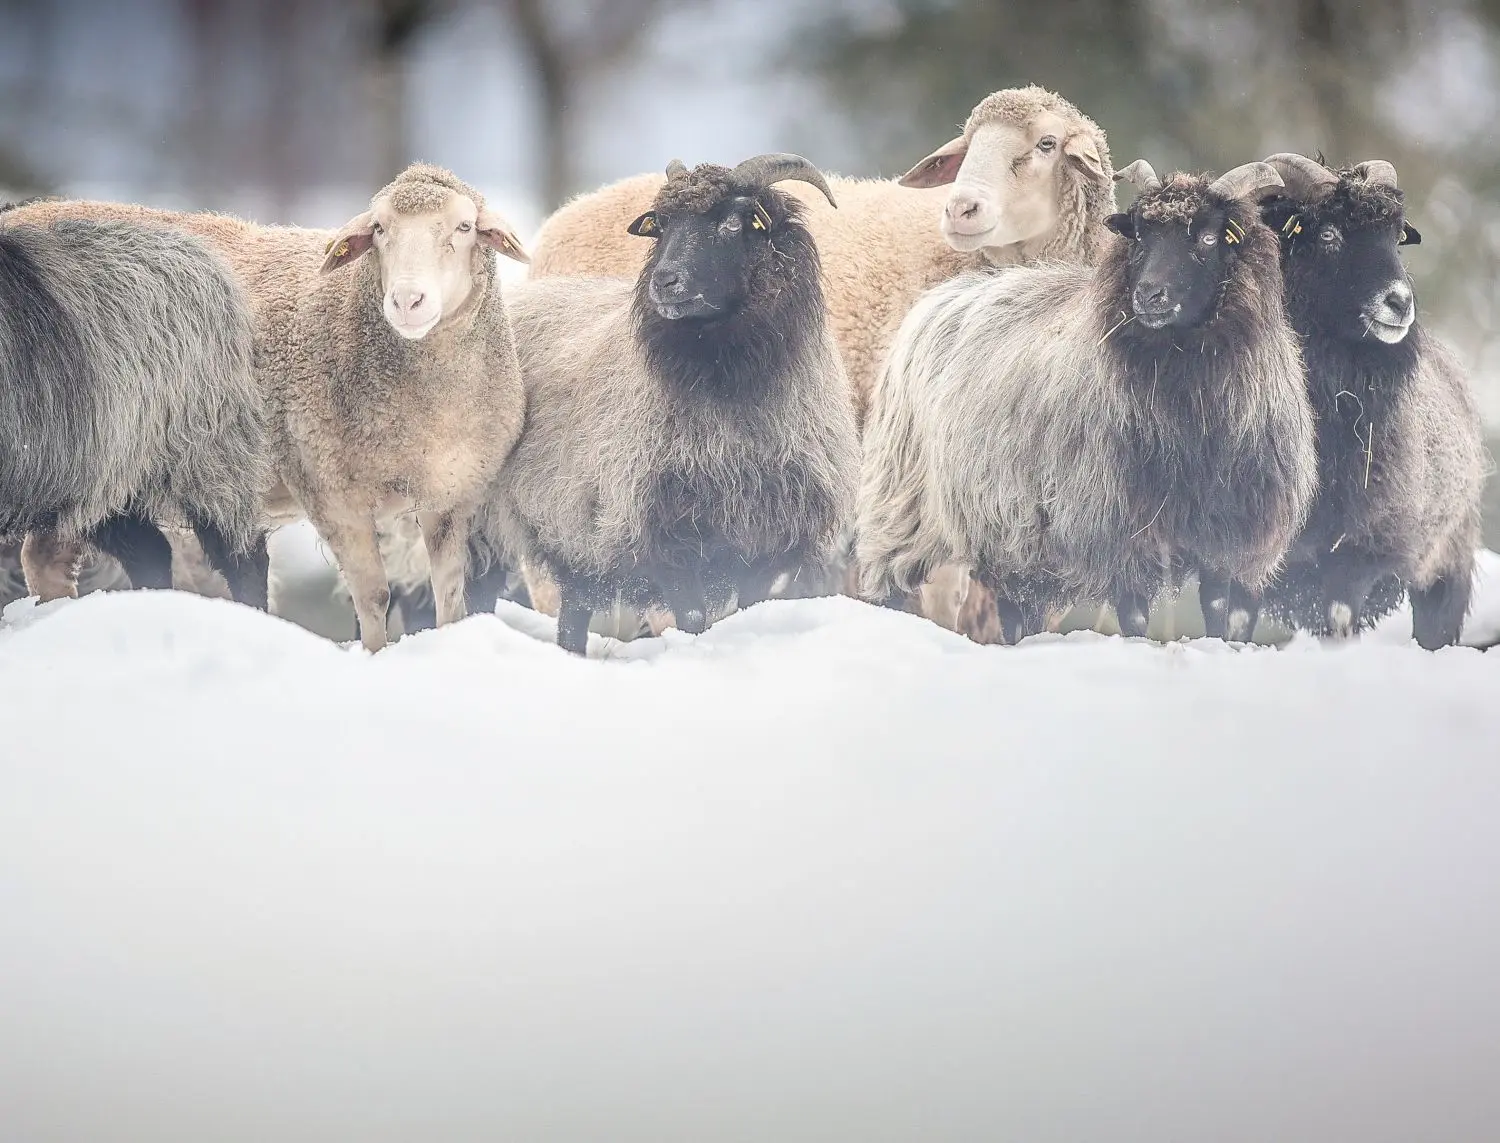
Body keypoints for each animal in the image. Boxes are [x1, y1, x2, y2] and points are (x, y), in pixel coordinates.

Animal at [483, 154, 860, 656]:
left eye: (734, 221)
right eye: (659, 227)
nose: (664, 281)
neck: (732, 394)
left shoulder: (765, 542)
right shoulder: (662, 532)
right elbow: (694, 618)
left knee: (575, 611)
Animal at [857, 160, 1318, 641]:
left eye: (1209, 238)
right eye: (1139, 236)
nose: (1148, 295)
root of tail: (940, 295)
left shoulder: (1235, 539)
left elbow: (1223, 616)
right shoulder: (1119, 533)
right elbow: (1134, 617)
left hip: (1012, 534)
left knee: (1016, 607)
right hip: (903, 509)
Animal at [1211, 154, 1486, 649]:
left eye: (1395, 238)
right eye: (1327, 234)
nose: (1400, 302)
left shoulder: (1358, 552)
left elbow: (1340, 619)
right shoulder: (1244, 552)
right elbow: (1234, 623)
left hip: (1445, 570)